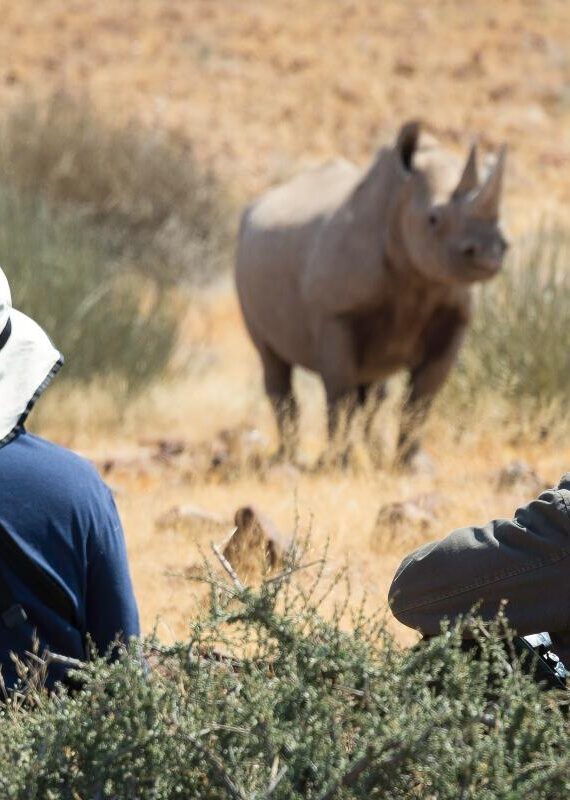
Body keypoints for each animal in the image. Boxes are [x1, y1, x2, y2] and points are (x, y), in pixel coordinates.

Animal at [235, 122, 508, 467]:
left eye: (502, 218)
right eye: (433, 219)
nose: (489, 252)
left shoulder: (454, 315)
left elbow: (423, 396)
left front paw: (412, 465)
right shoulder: (335, 315)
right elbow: (340, 392)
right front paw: (338, 463)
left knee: (374, 387)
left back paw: (371, 454)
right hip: (243, 256)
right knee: (274, 363)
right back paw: (287, 459)